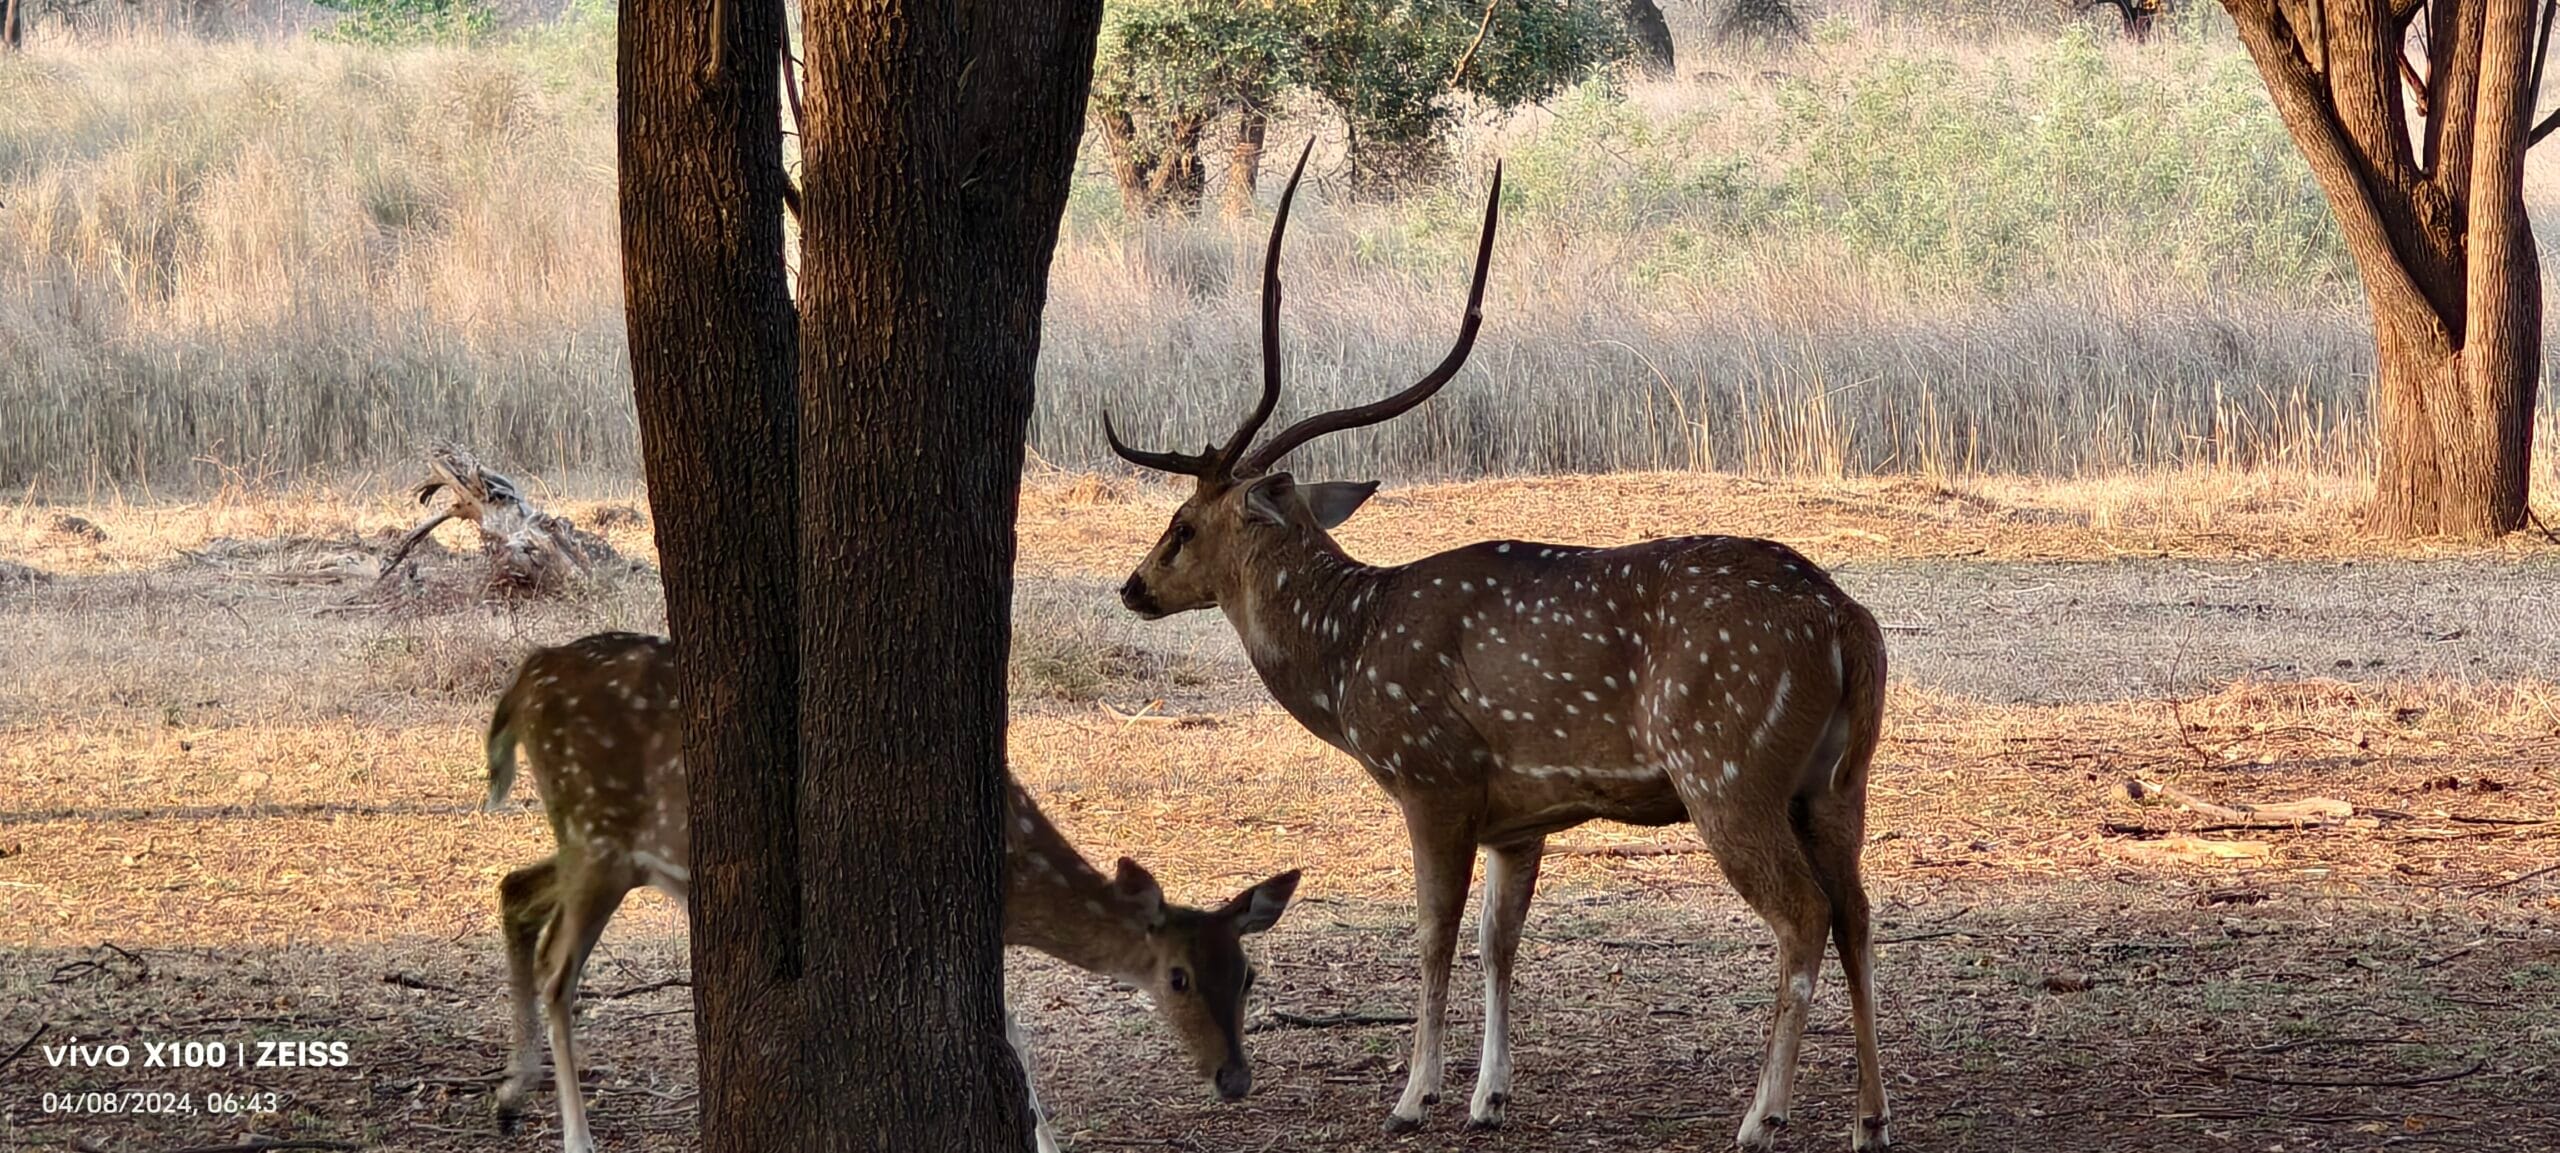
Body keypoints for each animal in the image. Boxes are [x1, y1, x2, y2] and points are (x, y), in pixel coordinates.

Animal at [480, 631, 1302, 1153]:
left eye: (1249, 975)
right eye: (1178, 976)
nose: (1234, 1077)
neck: (1017, 875)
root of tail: (519, 683)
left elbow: (1013, 1032)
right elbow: (1014, 1035)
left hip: (597, 843)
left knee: (513, 886)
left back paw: (510, 1097)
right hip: (597, 830)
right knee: (557, 969)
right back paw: (576, 1138)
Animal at [1099, 144, 1891, 1150]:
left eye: (1184, 523)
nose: (1134, 586)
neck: (1348, 655)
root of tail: (1845, 622)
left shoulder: (1433, 777)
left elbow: (1433, 933)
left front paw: (1414, 1094)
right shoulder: (1520, 818)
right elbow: (1496, 942)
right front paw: (1489, 1094)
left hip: (1727, 768)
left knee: (1803, 915)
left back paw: (1763, 1114)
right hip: (1836, 778)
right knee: (1859, 911)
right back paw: (1870, 1117)